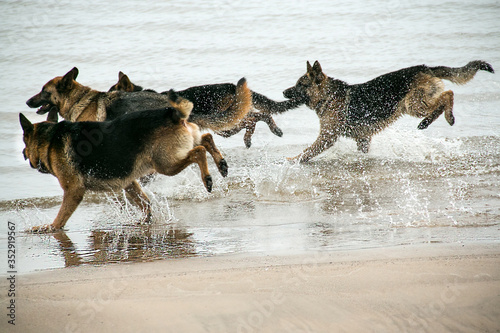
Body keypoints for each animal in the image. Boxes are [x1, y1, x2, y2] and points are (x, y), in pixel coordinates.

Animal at [19, 89, 227, 232]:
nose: (22, 153)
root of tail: (172, 114)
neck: (50, 139)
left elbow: (61, 216)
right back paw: (221, 164)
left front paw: (50, 228)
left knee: (199, 151)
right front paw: (145, 221)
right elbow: (145, 203)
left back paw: (207, 178)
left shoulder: (74, 191)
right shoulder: (129, 182)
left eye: (25, 143)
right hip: (180, 149)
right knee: (206, 138)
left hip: (165, 164)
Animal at [108, 71, 304, 147]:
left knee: (255, 118)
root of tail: (232, 86)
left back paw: (252, 137)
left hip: (225, 122)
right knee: (260, 115)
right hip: (226, 124)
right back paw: (269, 131)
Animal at [284, 60, 494, 162]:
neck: (328, 95)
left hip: (413, 104)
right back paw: (432, 120)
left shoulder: (327, 137)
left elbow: (308, 151)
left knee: (448, 95)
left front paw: (293, 159)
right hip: (416, 103)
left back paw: (441, 118)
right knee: (444, 98)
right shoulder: (363, 138)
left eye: (301, 85)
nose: (283, 92)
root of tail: (425, 67)